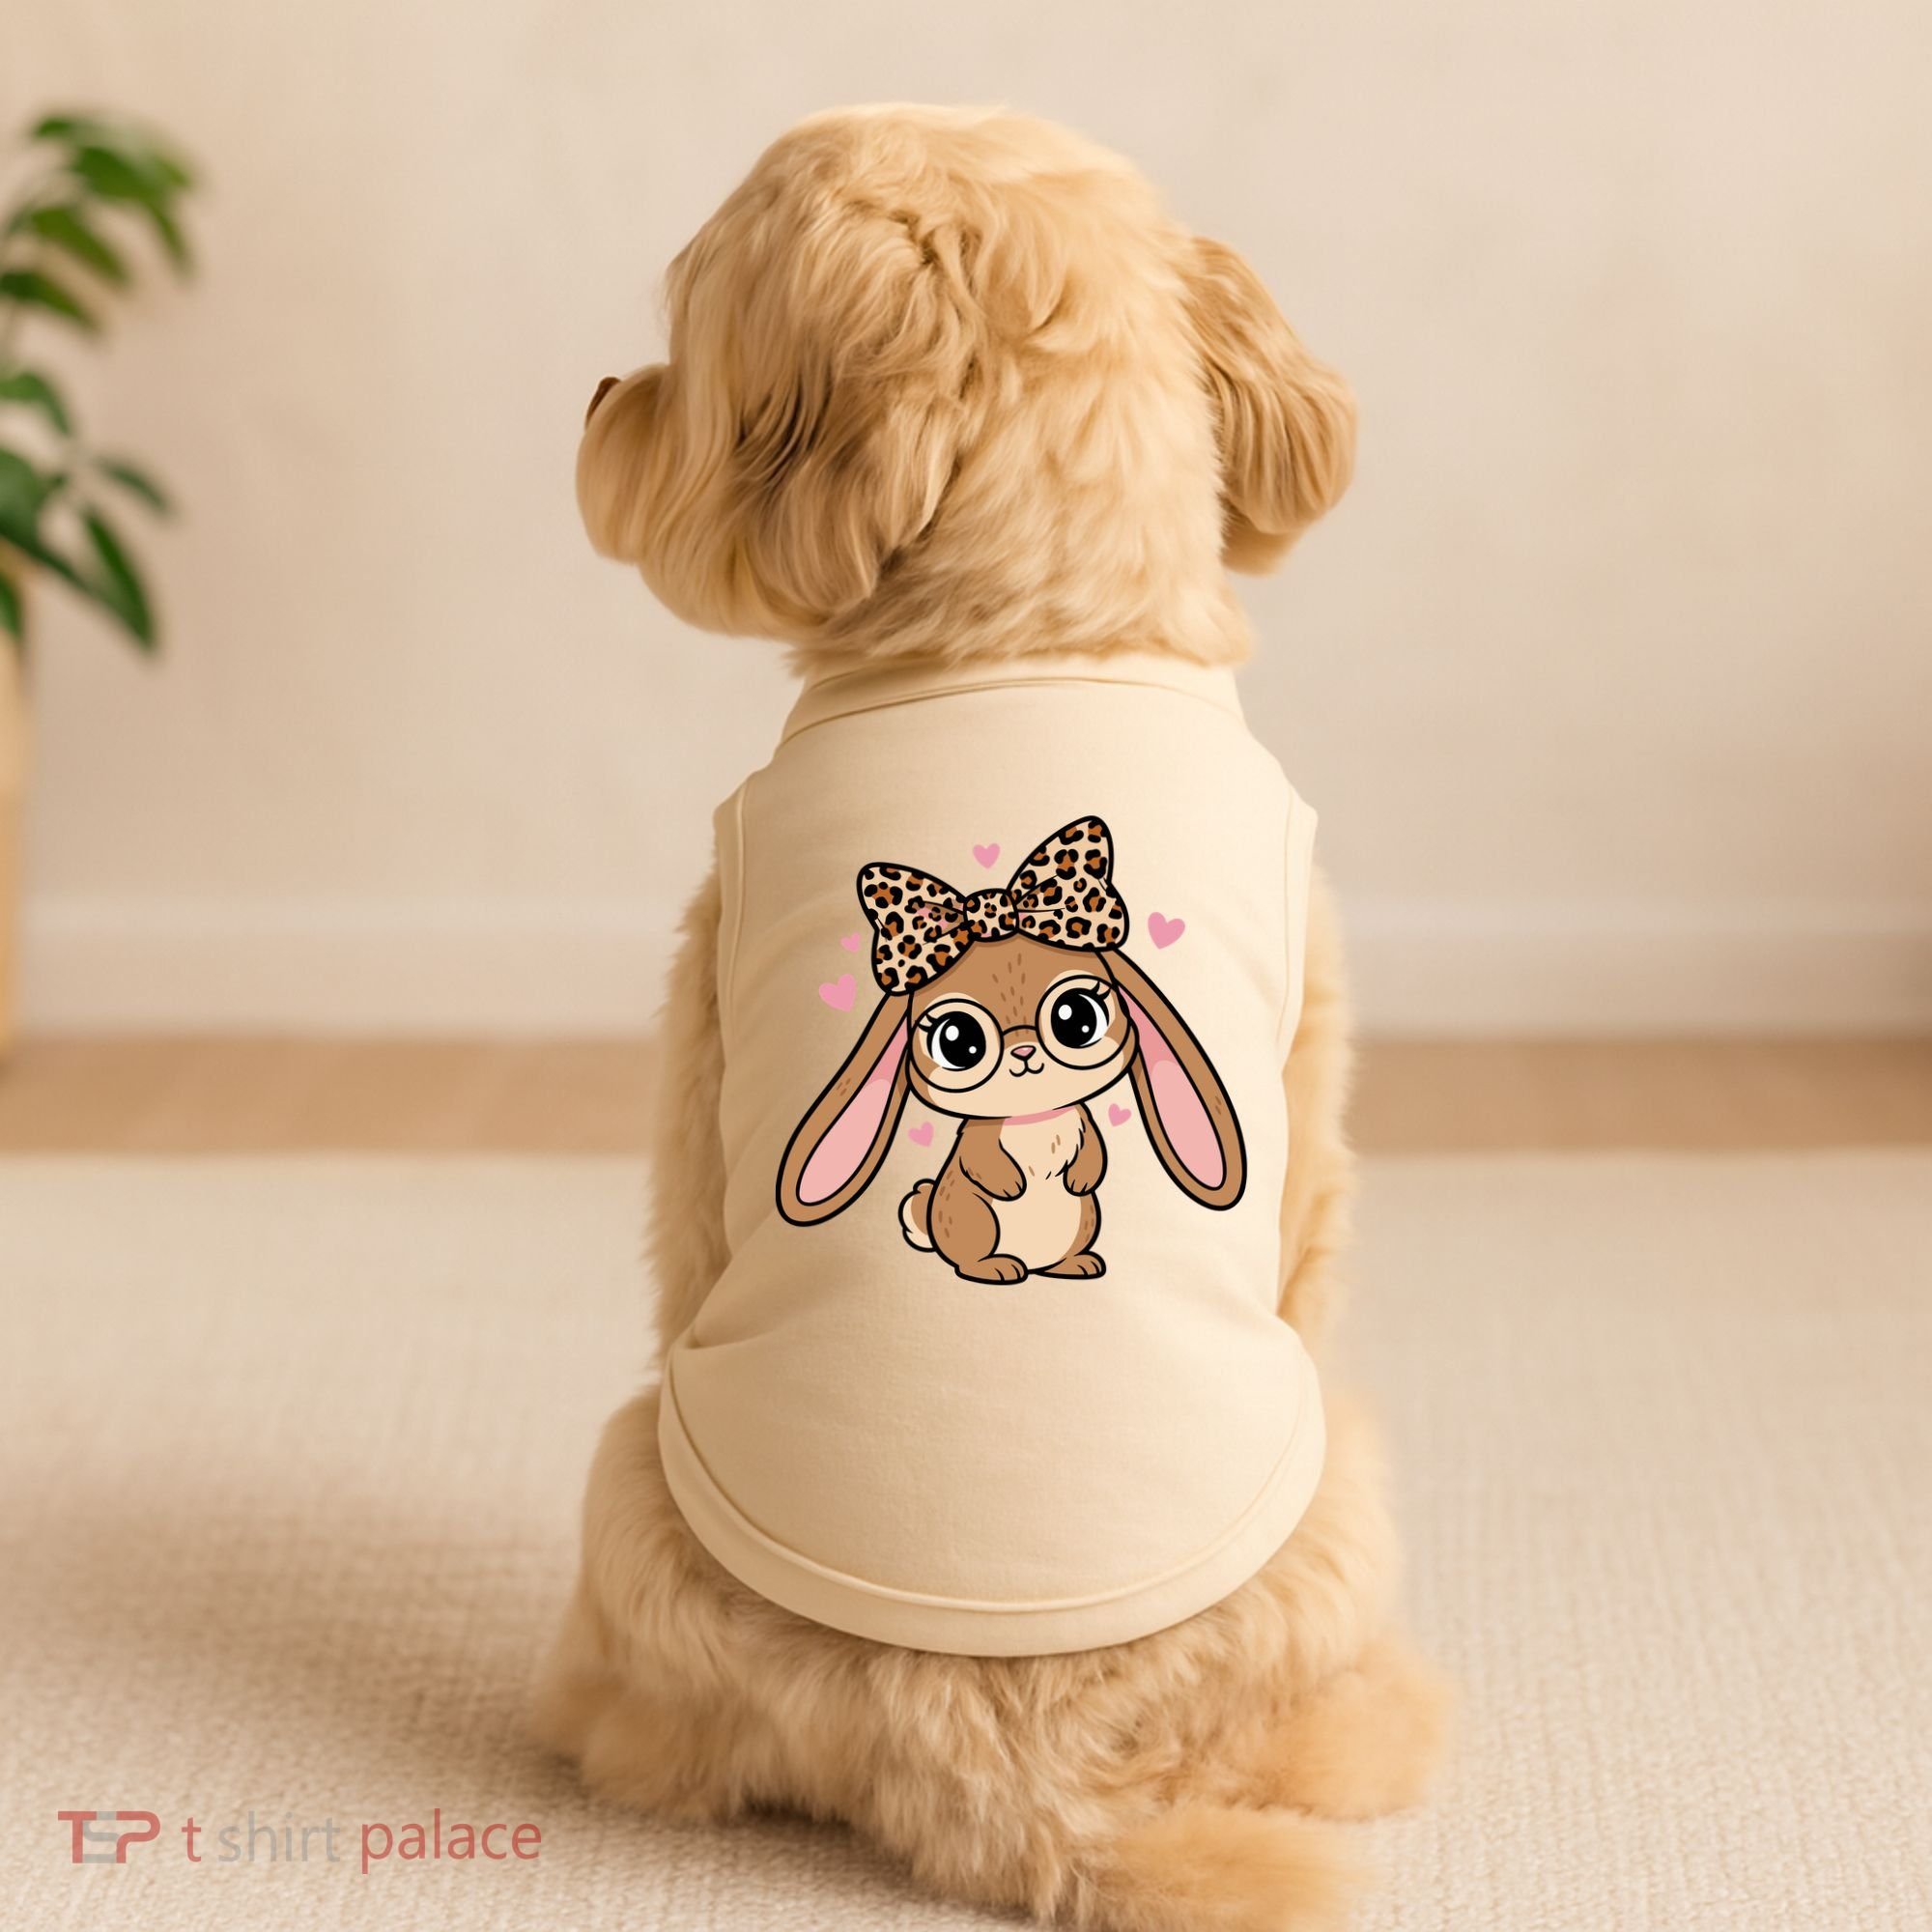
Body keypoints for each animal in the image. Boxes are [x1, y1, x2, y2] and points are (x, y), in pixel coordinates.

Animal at [536, 105, 1449, 1932]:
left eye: (687, 344)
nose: (600, 397)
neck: (1041, 626)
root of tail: (1005, 1759)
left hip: (644, 1471)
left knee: (663, 1747)